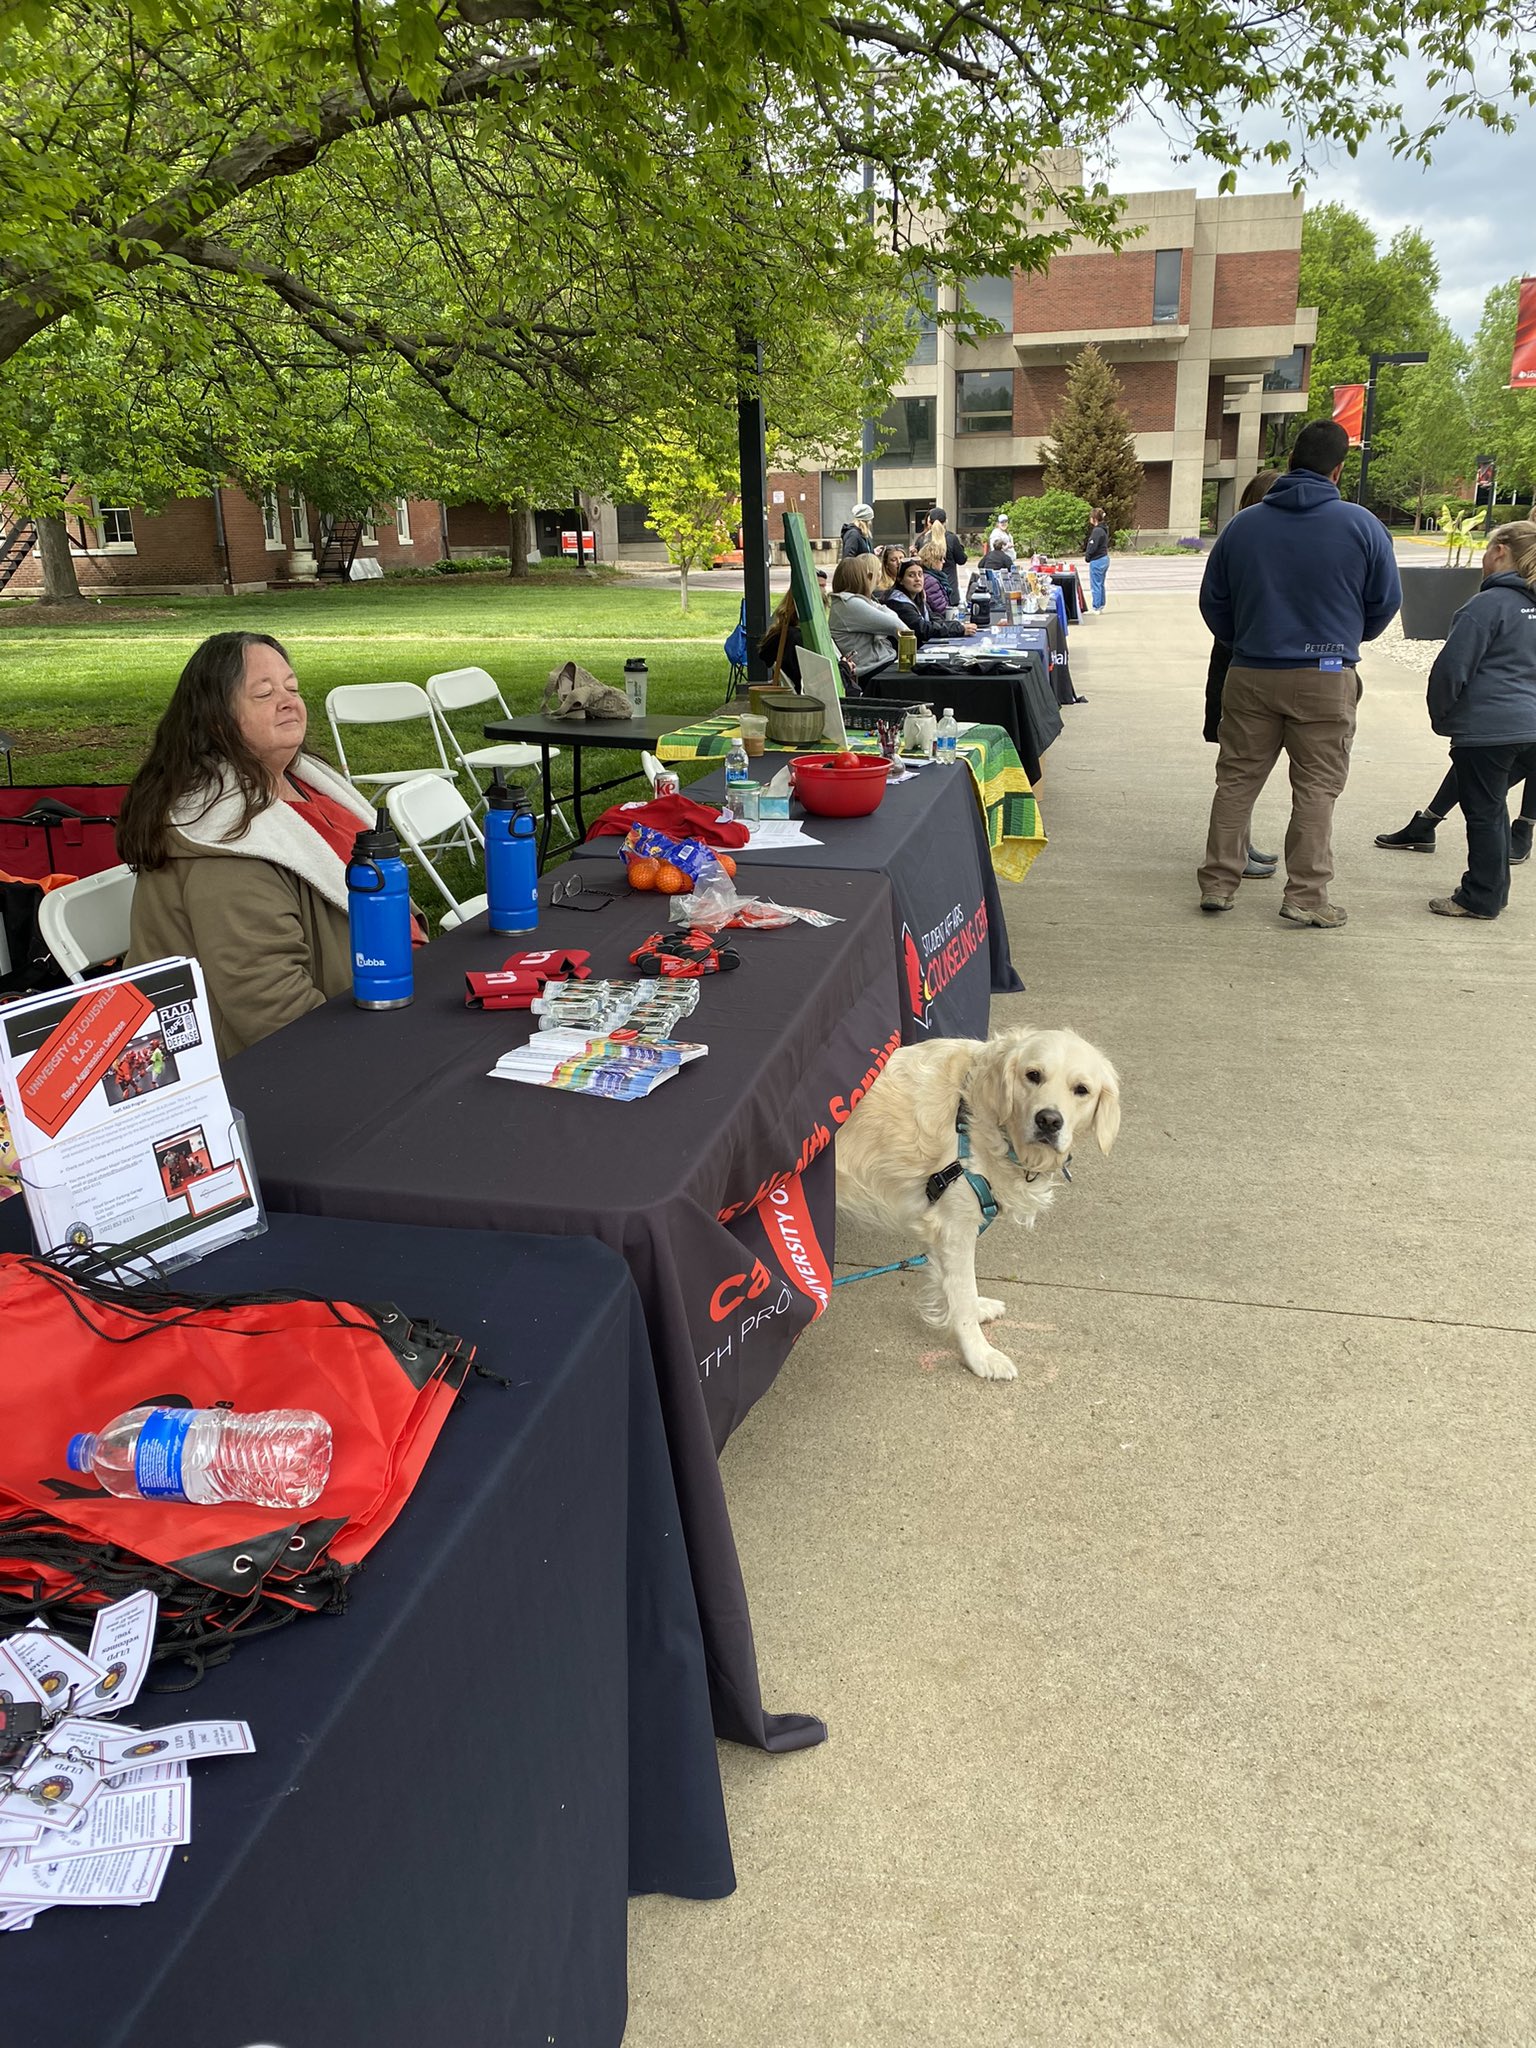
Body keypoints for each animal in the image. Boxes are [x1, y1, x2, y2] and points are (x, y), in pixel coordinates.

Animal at [843, 1024, 1122, 1376]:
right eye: (1033, 1075)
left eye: (1081, 1089)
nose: (1048, 1120)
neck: (977, 1116)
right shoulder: (956, 1226)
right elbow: (963, 1294)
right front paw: (980, 1355)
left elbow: (954, 1285)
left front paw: (977, 1308)